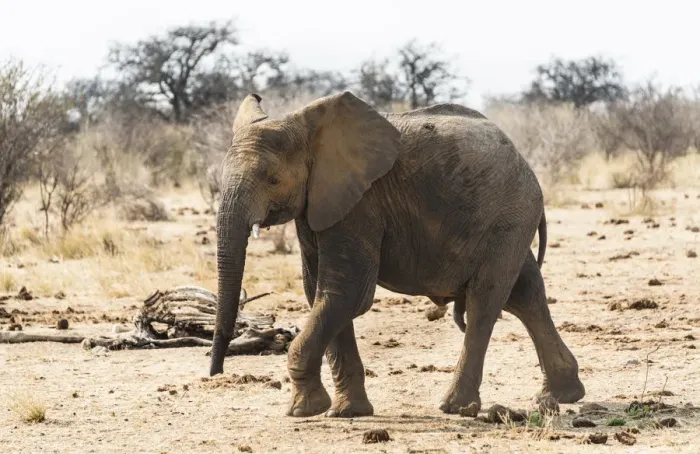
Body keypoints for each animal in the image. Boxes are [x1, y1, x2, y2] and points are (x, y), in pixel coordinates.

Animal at [209, 91, 585, 418]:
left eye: (272, 179)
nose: (216, 372)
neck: (306, 126)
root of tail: (525, 163)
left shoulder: (361, 202)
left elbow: (347, 293)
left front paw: (304, 411)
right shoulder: (318, 202)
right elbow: (321, 293)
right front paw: (346, 413)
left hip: (508, 217)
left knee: (485, 302)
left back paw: (455, 407)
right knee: (525, 294)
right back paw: (561, 395)